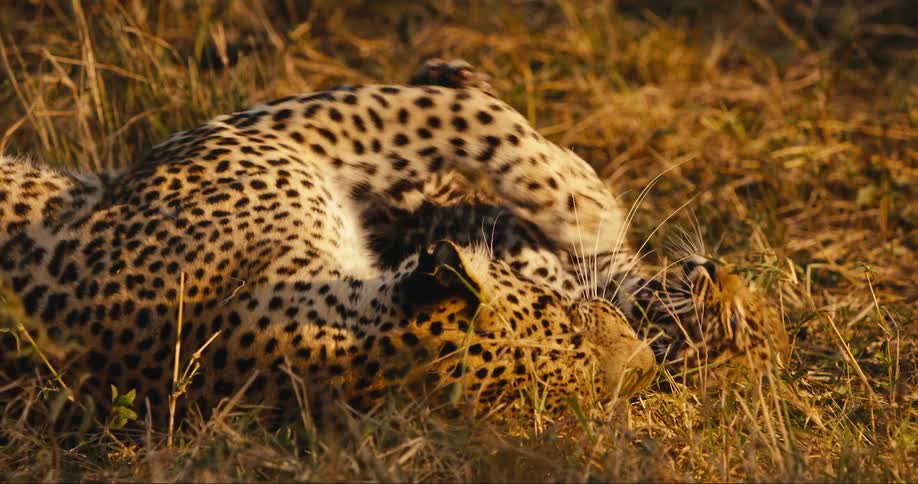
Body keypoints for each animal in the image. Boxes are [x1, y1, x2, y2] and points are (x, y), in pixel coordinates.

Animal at [0, 59, 786, 427]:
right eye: (566, 320)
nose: (644, 364)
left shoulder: (272, 132)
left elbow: (453, 120)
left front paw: (583, 206)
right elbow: (456, 116)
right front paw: (586, 204)